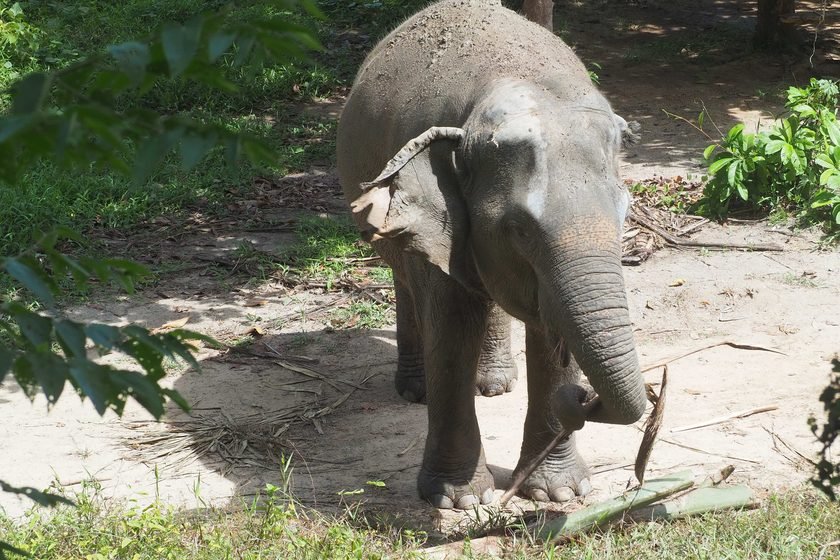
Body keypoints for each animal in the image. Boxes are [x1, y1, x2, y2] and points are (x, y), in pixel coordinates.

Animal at [336, 0, 647, 509]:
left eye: (624, 213)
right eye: (519, 230)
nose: (582, 399)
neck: (512, 78)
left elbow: (548, 330)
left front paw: (559, 493)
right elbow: (450, 327)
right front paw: (459, 500)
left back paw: (496, 385)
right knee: (405, 279)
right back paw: (416, 390)